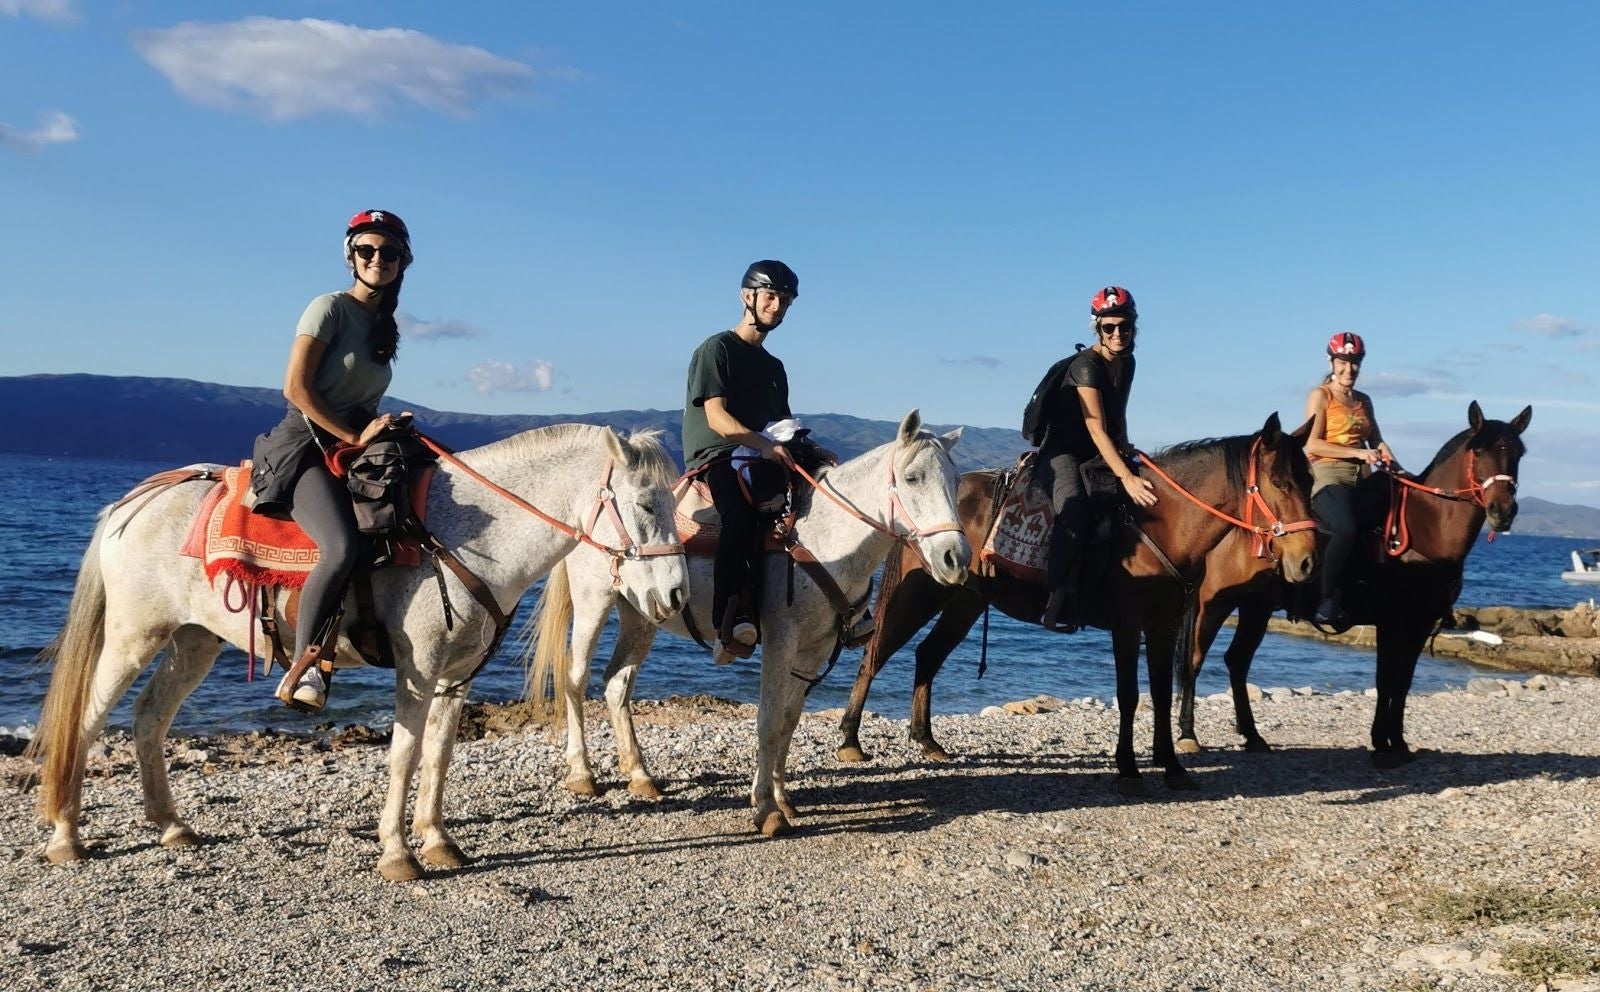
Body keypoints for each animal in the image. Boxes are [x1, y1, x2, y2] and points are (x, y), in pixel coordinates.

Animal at [28, 424, 690, 881]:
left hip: (193, 641)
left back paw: (171, 826)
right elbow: (402, 754)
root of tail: (129, 503)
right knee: (87, 720)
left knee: (149, 718)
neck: (465, 537)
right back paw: (66, 837)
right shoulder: (417, 669)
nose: (677, 593)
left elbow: (439, 754)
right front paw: (398, 854)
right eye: (646, 504)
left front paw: (438, 840)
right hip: (133, 635)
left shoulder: (457, 675)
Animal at [526, 410, 971, 837]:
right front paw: (766, 810)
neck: (826, 540)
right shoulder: (780, 641)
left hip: (643, 612)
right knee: (576, 677)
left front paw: (781, 797)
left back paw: (640, 775)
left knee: (618, 683)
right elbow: (769, 721)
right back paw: (582, 773)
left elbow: (789, 722)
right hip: (594, 600)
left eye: (955, 481)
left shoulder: (814, 650)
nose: (956, 558)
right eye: (912, 478)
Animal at [837, 412, 1318, 795]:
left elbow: (1161, 694)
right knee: (875, 653)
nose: (1306, 560)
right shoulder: (1127, 625)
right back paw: (850, 741)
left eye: (1310, 480)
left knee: (927, 655)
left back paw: (927, 740)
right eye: (1279, 482)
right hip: (922, 593)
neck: (1158, 525)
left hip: (964, 600)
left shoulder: (1164, 625)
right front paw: (1129, 770)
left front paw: (1172, 765)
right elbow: (1129, 695)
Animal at [1175, 401, 1531, 766]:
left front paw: (1398, 743)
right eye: (1479, 451)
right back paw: (1189, 734)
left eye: (1518, 453)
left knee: (1237, 661)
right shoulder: (1390, 621)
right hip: (1212, 603)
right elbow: (1385, 681)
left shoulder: (1419, 623)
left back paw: (1252, 735)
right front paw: (1381, 743)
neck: (1424, 528)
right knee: (1194, 660)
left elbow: (1403, 683)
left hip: (1255, 606)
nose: (1503, 511)